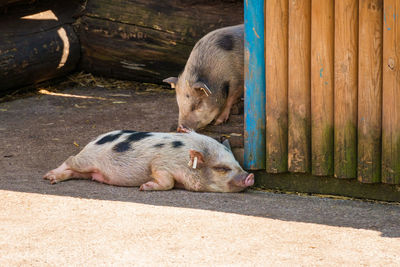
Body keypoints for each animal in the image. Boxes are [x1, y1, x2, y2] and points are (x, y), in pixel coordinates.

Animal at [43, 130, 255, 192]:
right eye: (221, 168)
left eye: (238, 165)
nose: (250, 176)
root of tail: (95, 139)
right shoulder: (160, 164)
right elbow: (167, 182)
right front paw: (143, 187)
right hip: (86, 159)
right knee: (69, 160)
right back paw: (48, 178)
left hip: (87, 170)